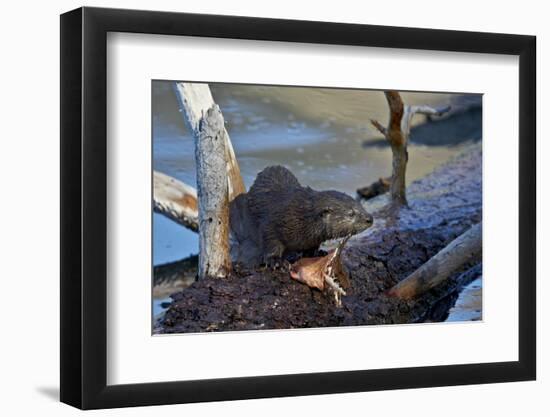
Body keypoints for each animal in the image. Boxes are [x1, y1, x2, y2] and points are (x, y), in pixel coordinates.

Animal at [229, 165, 376, 264]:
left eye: (360, 205)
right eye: (351, 213)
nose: (370, 218)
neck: (302, 218)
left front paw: (316, 252)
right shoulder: (272, 222)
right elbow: (270, 240)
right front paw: (275, 261)